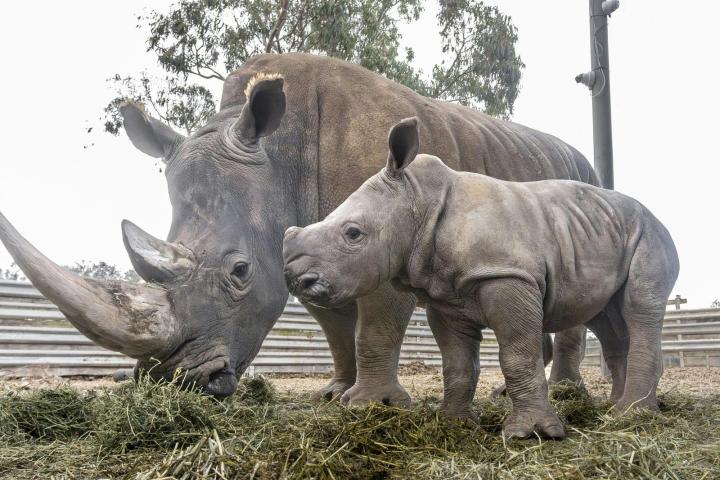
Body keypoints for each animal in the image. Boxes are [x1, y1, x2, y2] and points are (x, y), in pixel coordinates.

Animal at [282, 117, 680, 438]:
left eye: (353, 234)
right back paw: (614, 409)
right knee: (607, 318)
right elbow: (457, 364)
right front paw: (454, 423)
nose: (296, 279)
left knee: (640, 305)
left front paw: (531, 433)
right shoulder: (445, 295)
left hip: (650, 234)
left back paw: (632, 415)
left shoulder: (507, 274)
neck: (418, 204)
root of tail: (655, 216)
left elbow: (518, 354)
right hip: (604, 233)